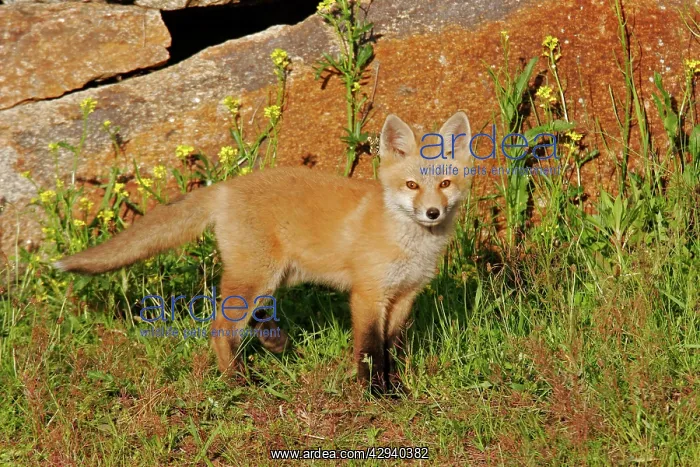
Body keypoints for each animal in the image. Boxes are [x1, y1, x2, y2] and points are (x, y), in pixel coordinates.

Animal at [54, 111, 475, 392]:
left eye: (445, 183)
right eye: (411, 186)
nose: (432, 213)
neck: (410, 244)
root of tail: (226, 187)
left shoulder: (405, 297)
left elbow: (394, 348)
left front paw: (397, 386)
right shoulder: (368, 296)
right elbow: (371, 351)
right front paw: (376, 392)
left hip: (274, 276)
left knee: (252, 318)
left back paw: (273, 342)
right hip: (256, 277)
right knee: (220, 327)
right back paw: (239, 382)